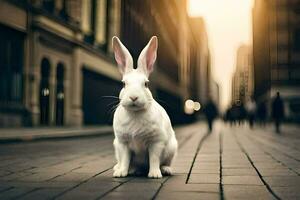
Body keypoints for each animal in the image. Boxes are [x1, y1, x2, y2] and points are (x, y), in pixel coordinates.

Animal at [111, 35, 177, 178]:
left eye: (146, 84)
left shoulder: (156, 142)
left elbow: (154, 159)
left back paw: (166, 170)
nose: (133, 97)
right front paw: (120, 173)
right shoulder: (123, 143)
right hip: (116, 146)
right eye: (124, 84)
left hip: (171, 148)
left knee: (165, 162)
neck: (135, 112)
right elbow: (125, 159)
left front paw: (154, 175)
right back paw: (122, 169)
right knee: (123, 161)